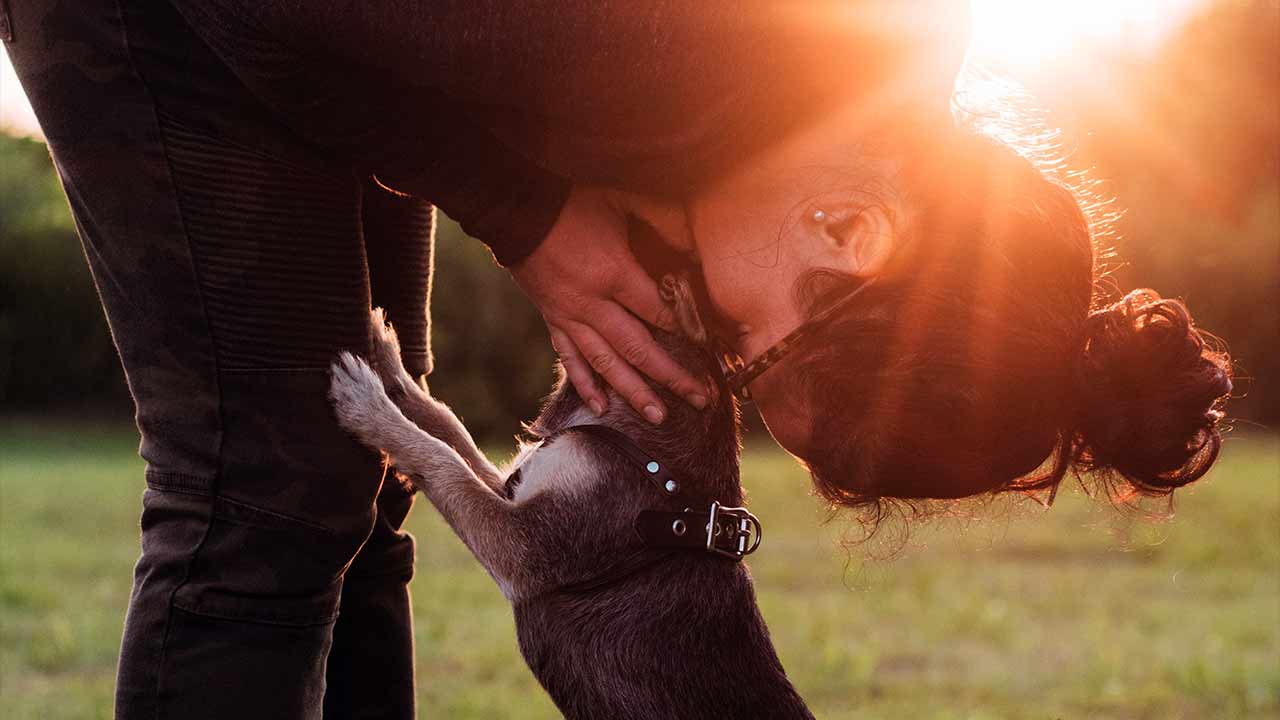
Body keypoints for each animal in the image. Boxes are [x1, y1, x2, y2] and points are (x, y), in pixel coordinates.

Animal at [327, 271, 808, 712]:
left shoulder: (520, 544)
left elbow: (443, 461)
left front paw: (370, 408)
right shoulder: (513, 487)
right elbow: (446, 427)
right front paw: (388, 361)